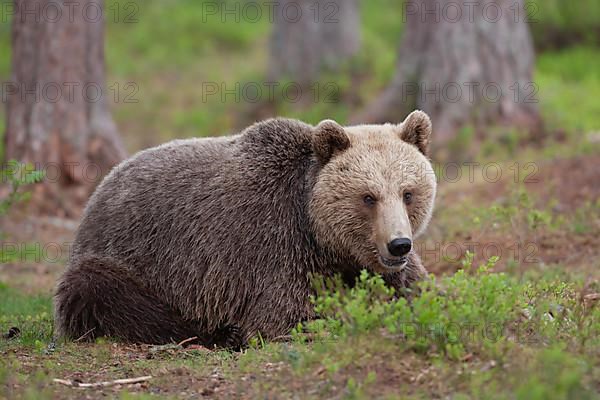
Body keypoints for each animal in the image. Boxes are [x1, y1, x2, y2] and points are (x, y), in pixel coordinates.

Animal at [55, 109, 436, 346]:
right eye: (368, 197)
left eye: (408, 193)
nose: (399, 244)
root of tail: (98, 192)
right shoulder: (276, 248)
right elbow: (286, 319)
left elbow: (417, 289)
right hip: (127, 259)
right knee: (109, 294)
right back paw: (221, 334)